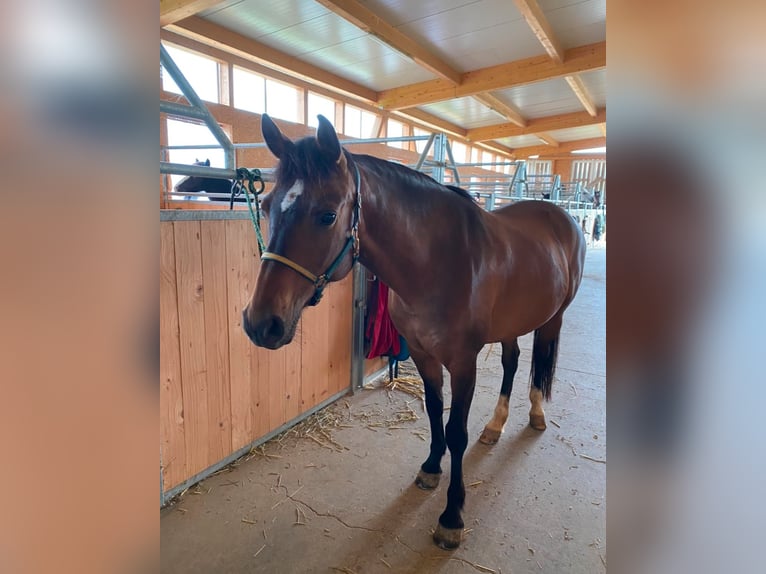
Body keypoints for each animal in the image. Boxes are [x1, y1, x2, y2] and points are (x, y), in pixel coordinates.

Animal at [243, 115, 584, 552]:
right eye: (266, 206)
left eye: (327, 216)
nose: (260, 323)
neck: (438, 260)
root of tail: (561, 217)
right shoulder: (423, 354)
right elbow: (435, 412)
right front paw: (430, 469)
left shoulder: (463, 363)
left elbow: (456, 431)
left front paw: (451, 517)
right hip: (511, 324)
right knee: (512, 362)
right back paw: (495, 426)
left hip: (552, 318)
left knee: (540, 360)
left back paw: (537, 414)